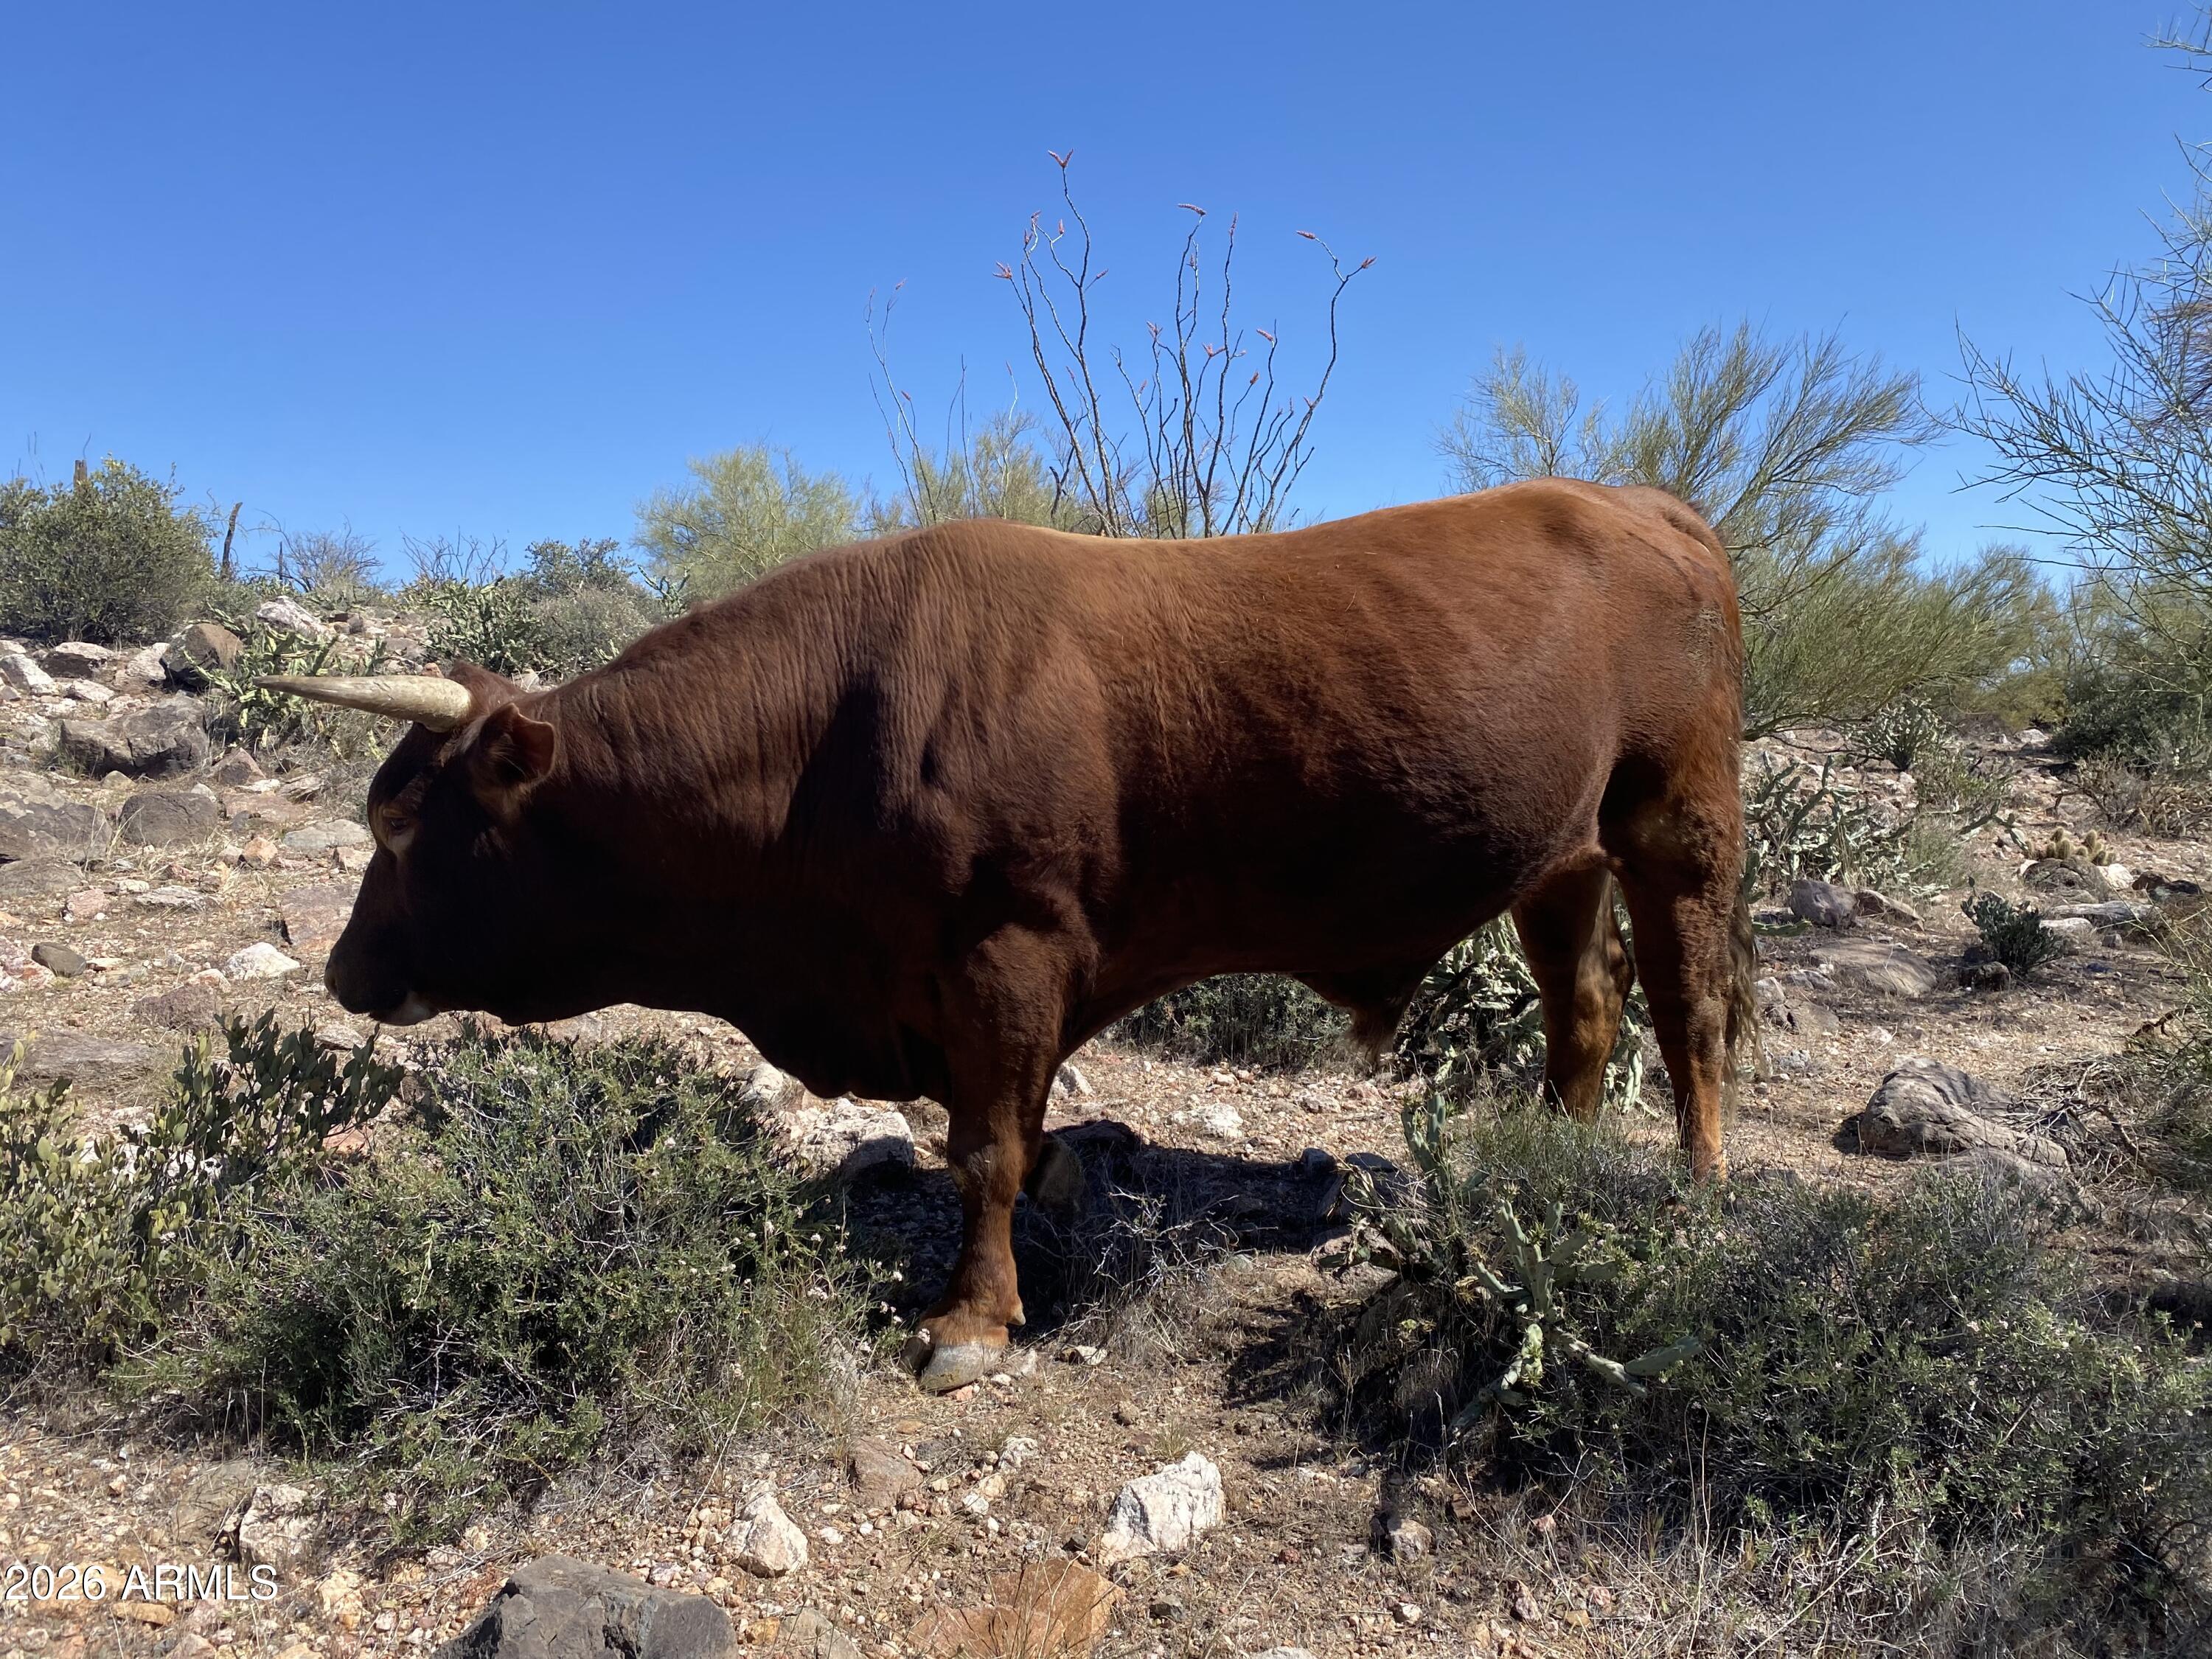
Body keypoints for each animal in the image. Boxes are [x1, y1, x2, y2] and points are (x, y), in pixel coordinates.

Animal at [263, 479, 1756, 1392]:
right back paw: (1542, 1174)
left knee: (1688, 1006)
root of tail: (1638, 499)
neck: (833, 731)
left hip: (1678, 816)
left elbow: (982, 1146)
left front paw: (970, 1319)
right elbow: (1014, 1133)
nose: (342, 970)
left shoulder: (1009, 948)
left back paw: (1696, 1194)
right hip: (1558, 853)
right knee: (1583, 1010)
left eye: (400, 825)